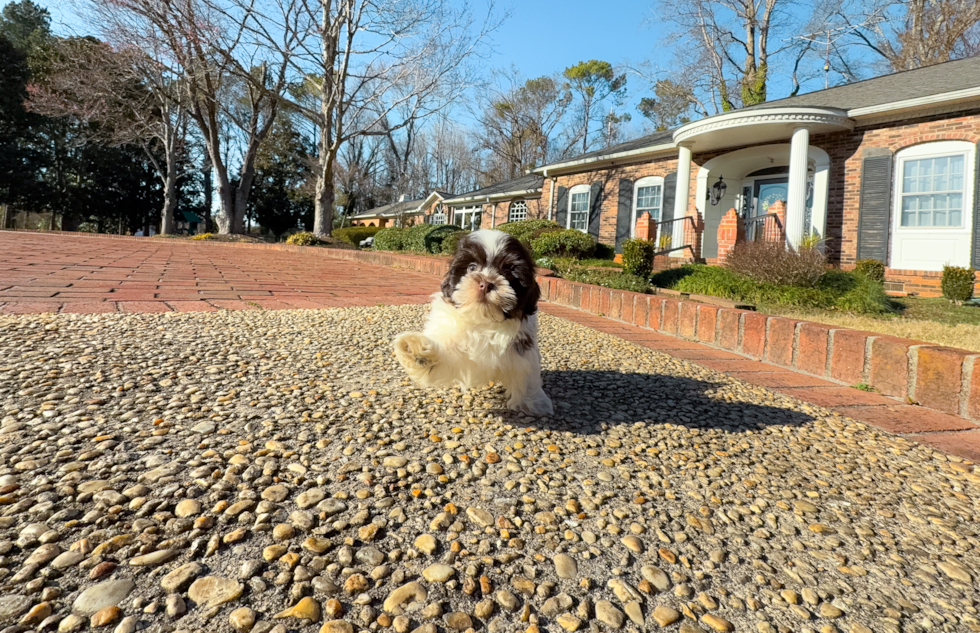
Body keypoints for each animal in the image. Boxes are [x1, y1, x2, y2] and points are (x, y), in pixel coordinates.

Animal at [394, 227, 556, 414]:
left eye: (507, 272)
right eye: (471, 267)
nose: (486, 284)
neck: (483, 320)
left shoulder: (522, 345)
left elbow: (526, 372)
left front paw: (532, 402)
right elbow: (441, 357)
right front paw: (418, 351)